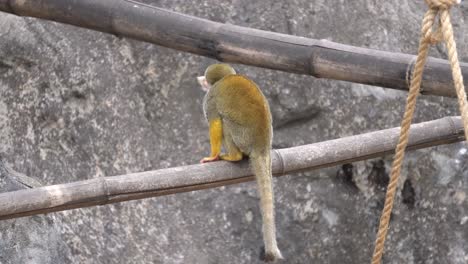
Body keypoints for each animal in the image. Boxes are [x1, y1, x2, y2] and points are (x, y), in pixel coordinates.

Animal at [197, 63, 282, 260]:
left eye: (206, 81)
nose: (201, 82)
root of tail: (261, 145)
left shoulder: (211, 97)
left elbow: (215, 122)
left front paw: (212, 156)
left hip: (241, 136)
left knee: (225, 122)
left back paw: (233, 156)